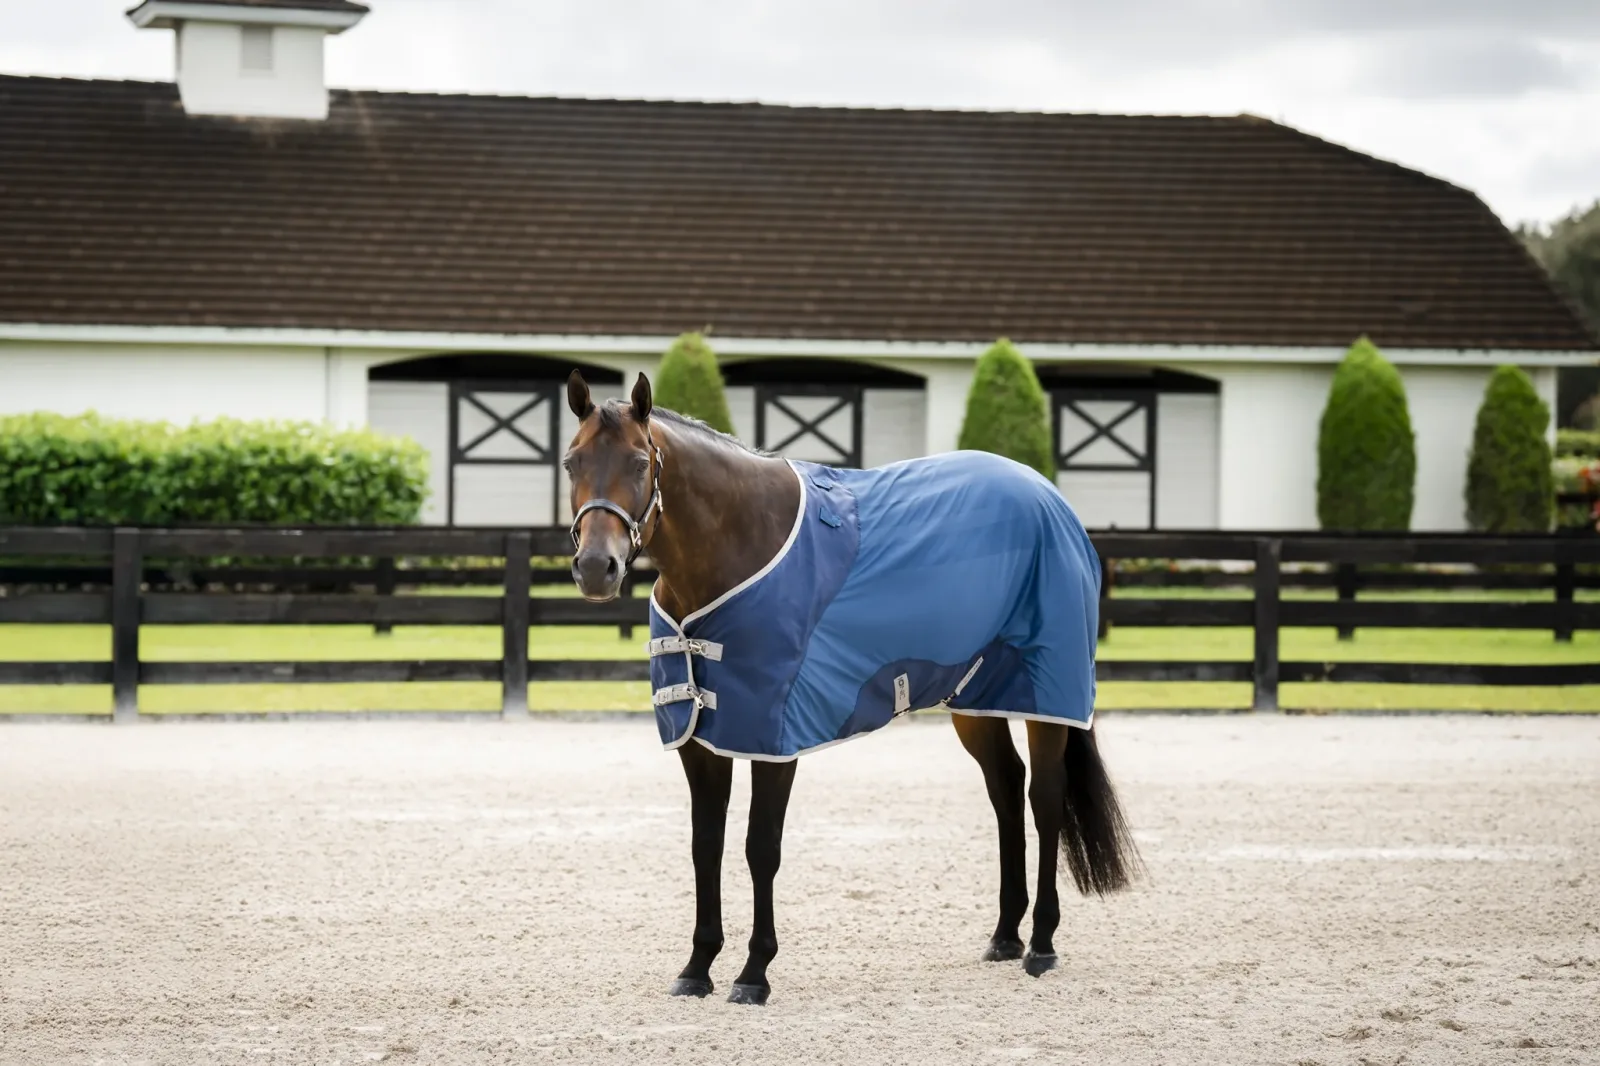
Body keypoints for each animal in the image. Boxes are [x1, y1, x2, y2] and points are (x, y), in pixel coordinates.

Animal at [563, 370, 1141, 1006]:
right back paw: (1005, 936)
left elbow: (760, 848)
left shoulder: (773, 736)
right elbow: (704, 845)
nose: (596, 568)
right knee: (1006, 789)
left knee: (1044, 799)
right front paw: (697, 967)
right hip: (977, 696)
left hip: (1047, 694)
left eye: (640, 462)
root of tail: (1050, 498)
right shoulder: (699, 736)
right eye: (572, 462)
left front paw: (754, 973)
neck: (738, 545)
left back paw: (1040, 944)